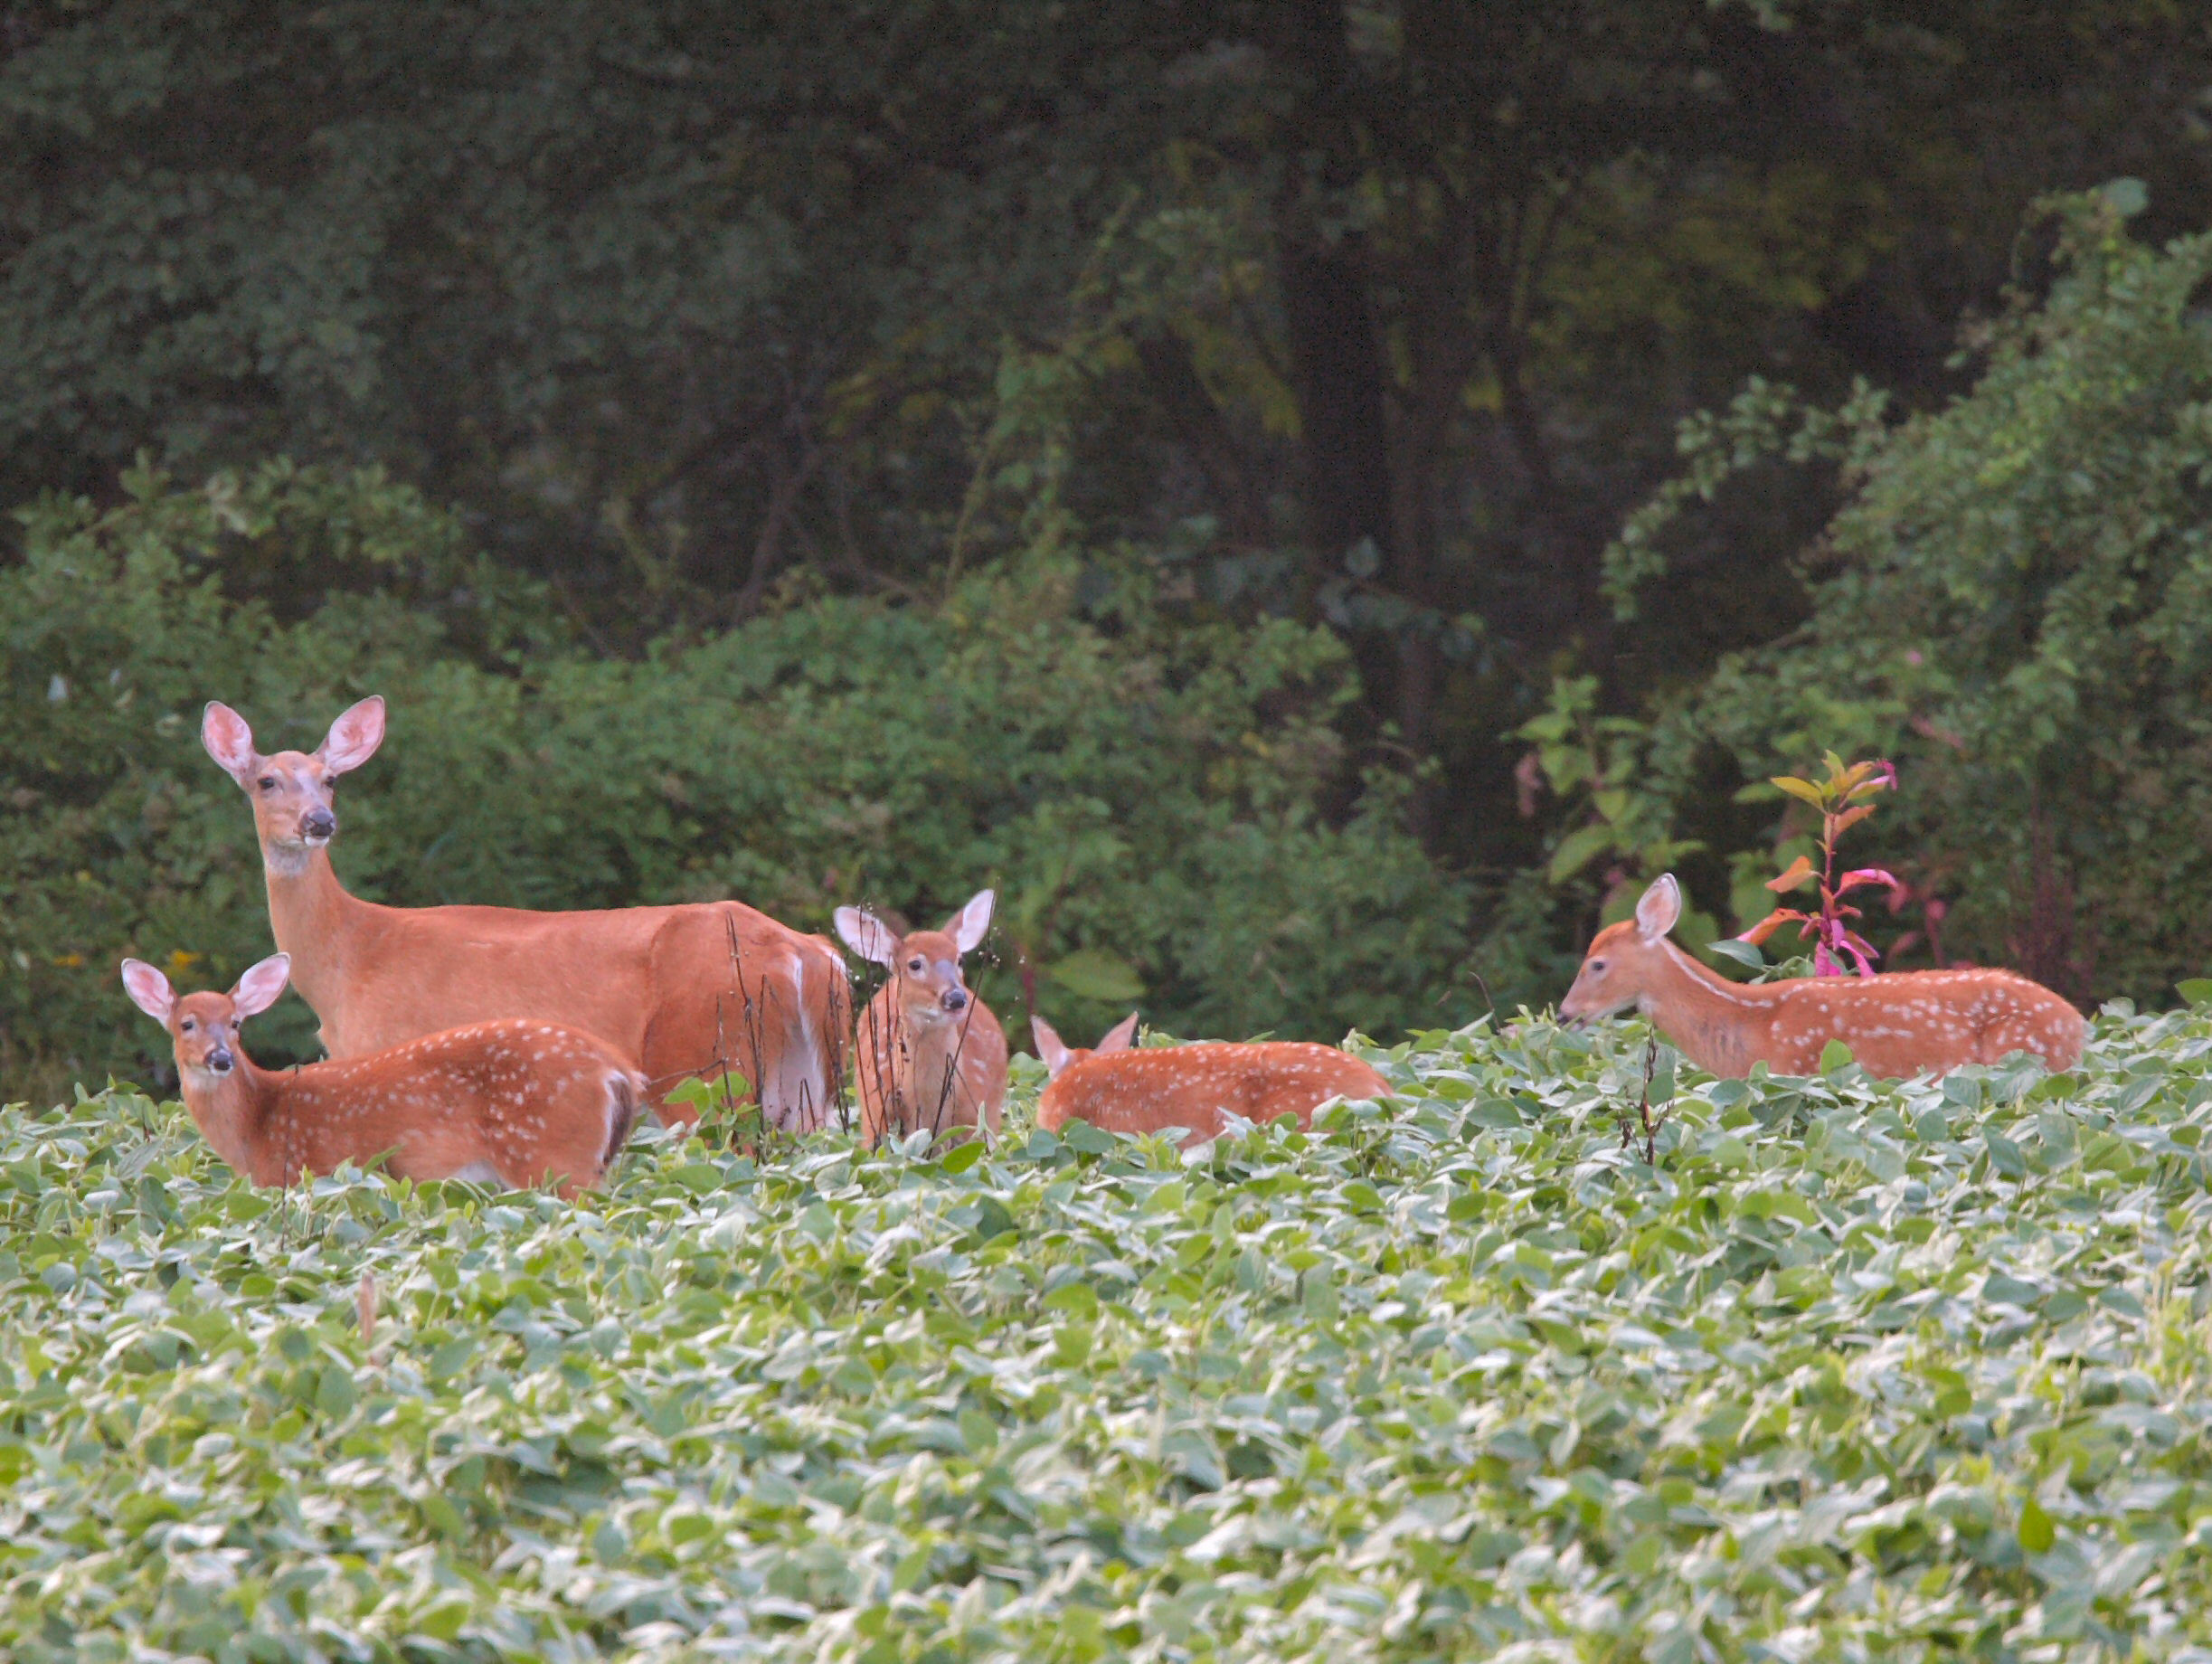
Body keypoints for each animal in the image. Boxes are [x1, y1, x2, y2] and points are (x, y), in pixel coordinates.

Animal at [121, 954, 640, 1196]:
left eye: (235, 1023)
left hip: (553, 1157)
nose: (221, 1058)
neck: (258, 1125)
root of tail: (618, 1072)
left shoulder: (293, 1174)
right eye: (186, 1024)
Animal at [200, 696, 849, 1133]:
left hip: (701, 1060)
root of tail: (805, 953)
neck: (349, 961)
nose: (319, 821)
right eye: (266, 781)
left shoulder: (389, 1056)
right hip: (805, 1075)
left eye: (330, 779)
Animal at [1559, 873, 2087, 1078]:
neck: (1753, 1023)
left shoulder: (1796, 1066)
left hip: (2025, 1055)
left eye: (1597, 964)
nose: (1564, 1014)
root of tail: (2078, 1024)